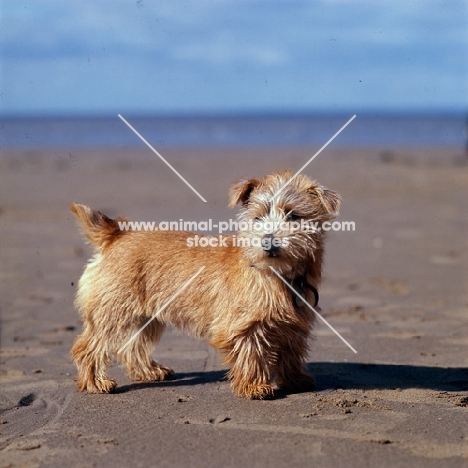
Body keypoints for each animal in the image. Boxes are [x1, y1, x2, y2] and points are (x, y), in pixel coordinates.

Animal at [69, 170, 340, 400]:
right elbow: (251, 354)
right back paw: (95, 383)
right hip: (112, 312)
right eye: (258, 217)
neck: (278, 275)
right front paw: (254, 387)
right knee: (88, 346)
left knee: (131, 346)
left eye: (294, 216)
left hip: (147, 317)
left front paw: (295, 380)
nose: (269, 242)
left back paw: (149, 372)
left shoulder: (293, 326)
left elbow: (291, 352)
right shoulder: (244, 327)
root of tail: (117, 234)